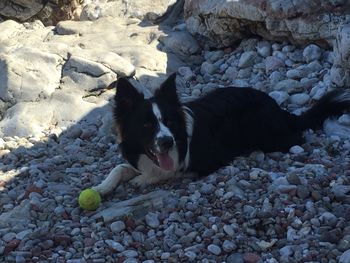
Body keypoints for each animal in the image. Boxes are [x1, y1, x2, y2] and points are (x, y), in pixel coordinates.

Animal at [92, 72, 350, 196]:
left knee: (296, 139)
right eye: (146, 125)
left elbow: (169, 172)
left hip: (263, 131)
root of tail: (277, 107)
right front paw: (101, 187)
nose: (167, 142)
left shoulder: (203, 161)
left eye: (169, 121)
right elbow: (120, 168)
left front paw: (142, 180)